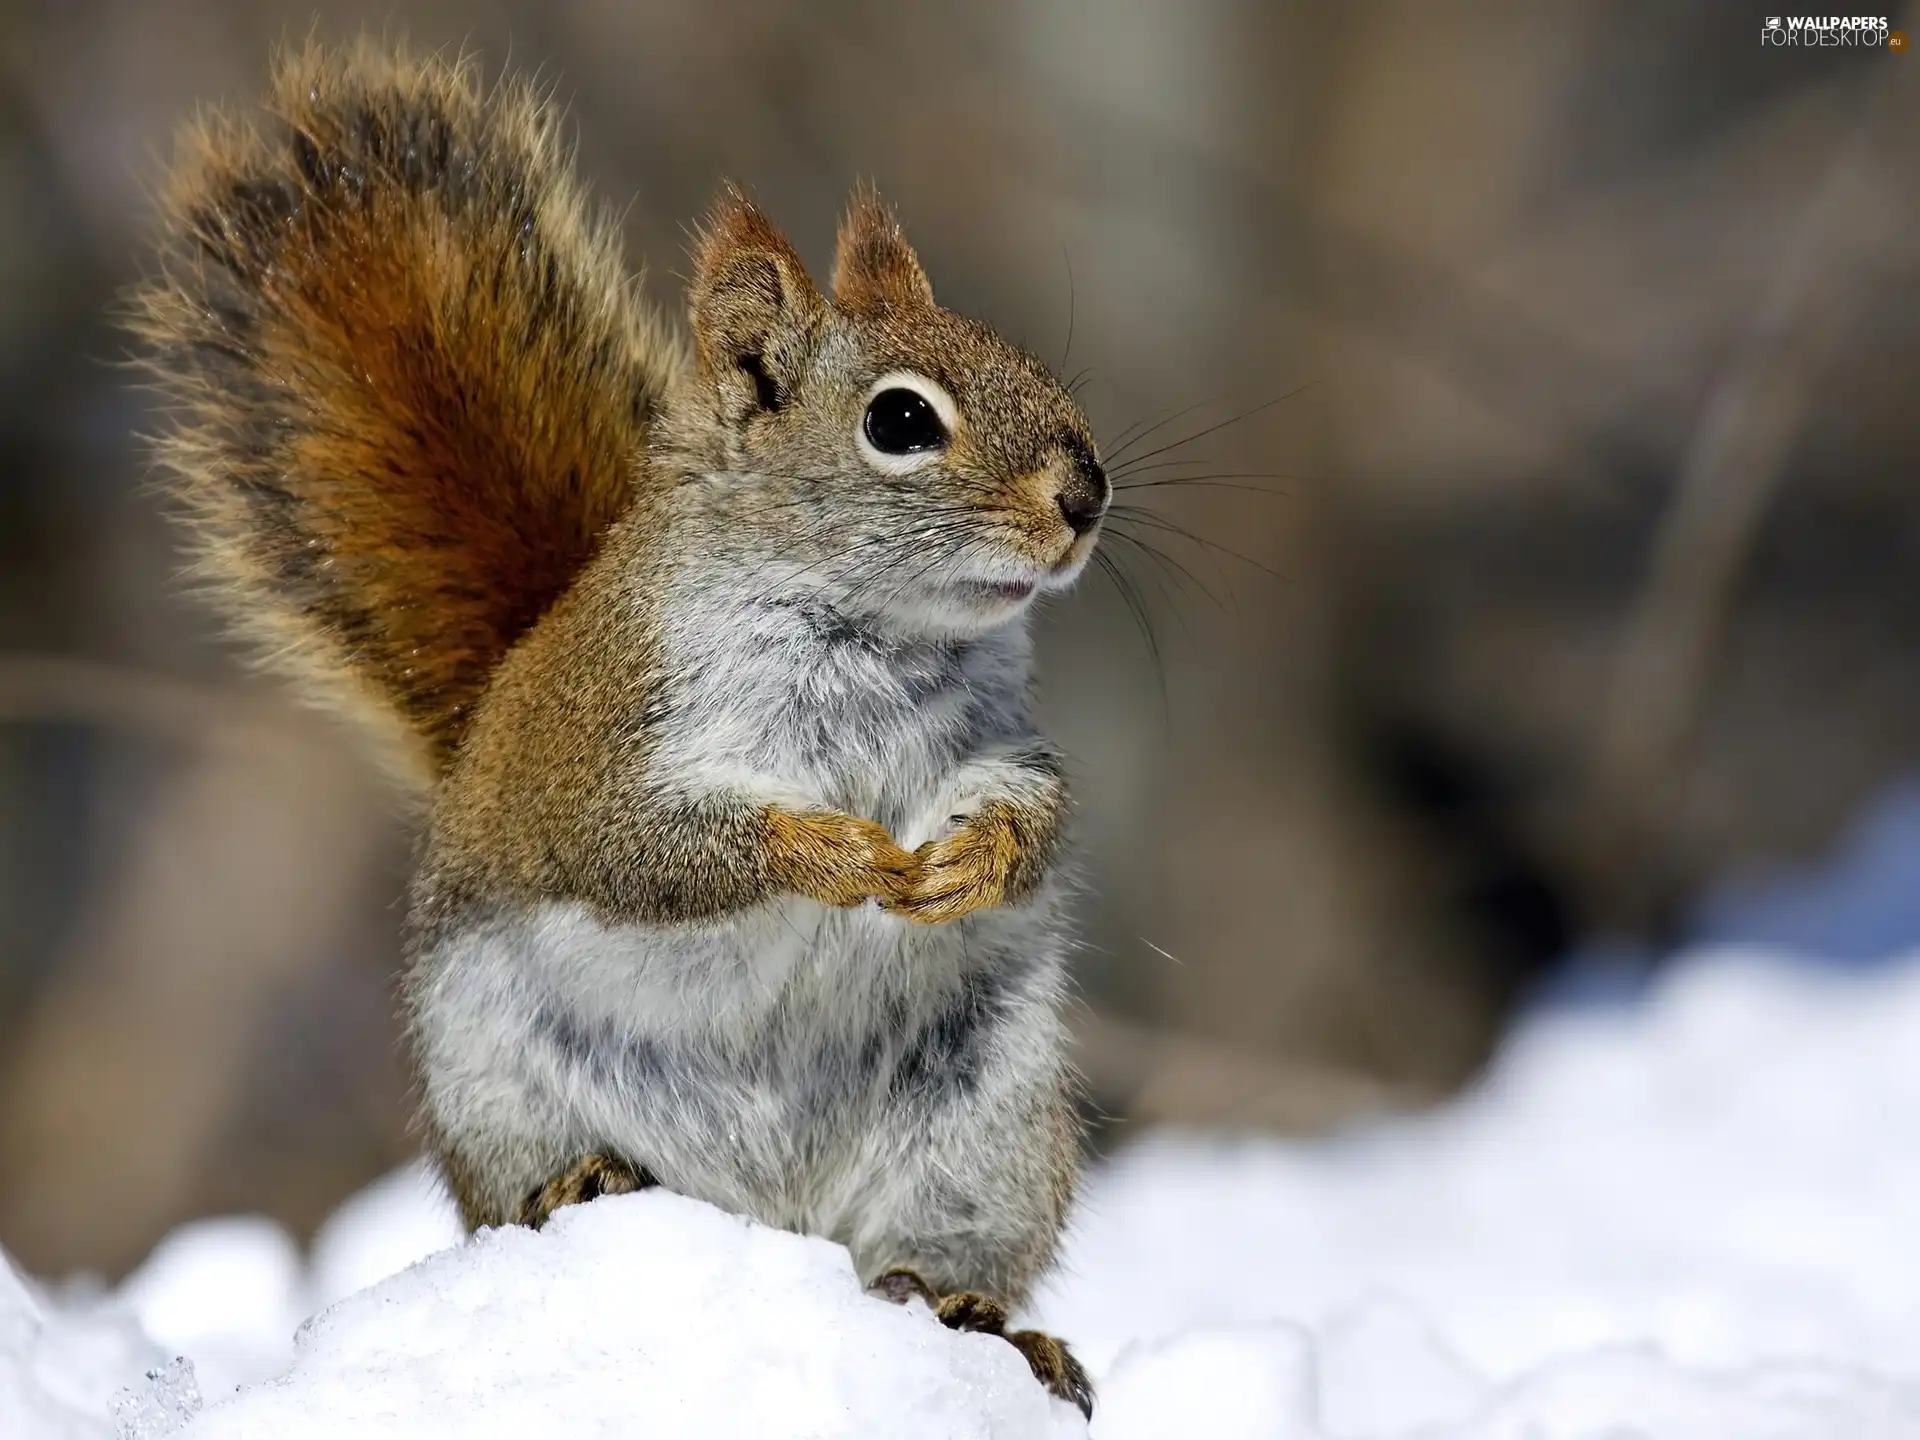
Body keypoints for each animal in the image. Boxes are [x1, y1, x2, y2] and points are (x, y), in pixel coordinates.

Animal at [131, 45, 1113, 1420]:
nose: (1086, 494)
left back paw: (980, 1322)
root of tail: (777, 1220)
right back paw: (585, 1182)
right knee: (531, 1188)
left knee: (931, 1255)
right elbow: (646, 854)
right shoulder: (609, 748)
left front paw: (967, 865)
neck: (872, 634)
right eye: (903, 423)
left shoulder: (1003, 735)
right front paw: (836, 855)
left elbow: (1038, 809)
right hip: (498, 1078)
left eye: (1020, 353)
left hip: (988, 1130)